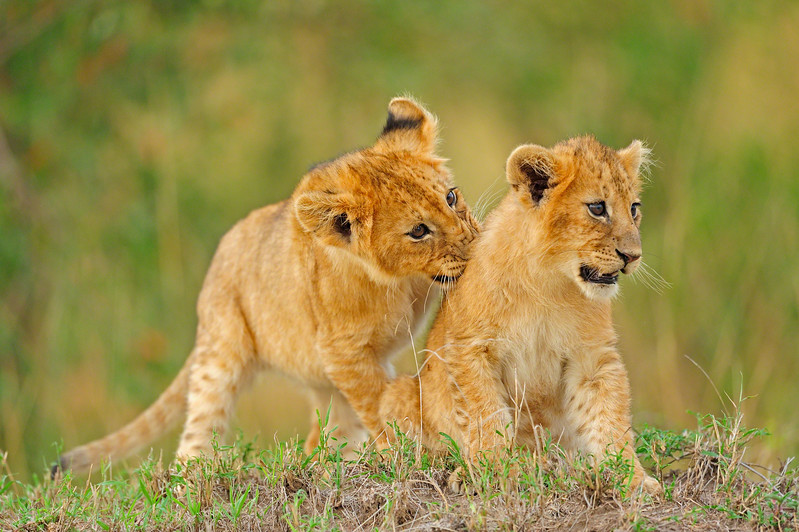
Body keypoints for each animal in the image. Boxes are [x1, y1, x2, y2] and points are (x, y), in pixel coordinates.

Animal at [54, 97, 479, 475]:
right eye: (418, 231)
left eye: (451, 196)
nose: (473, 244)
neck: (403, 283)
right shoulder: (343, 352)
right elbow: (378, 405)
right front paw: (413, 453)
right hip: (223, 351)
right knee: (197, 432)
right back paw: (190, 482)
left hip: (321, 380)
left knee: (324, 435)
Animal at [380, 135, 661, 494]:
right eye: (597, 208)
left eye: (634, 208)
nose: (633, 256)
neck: (548, 282)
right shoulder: (471, 348)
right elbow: (485, 413)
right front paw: (489, 471)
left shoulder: (592, 357)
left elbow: (609, 418)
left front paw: (633, 479)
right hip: (397, 393)